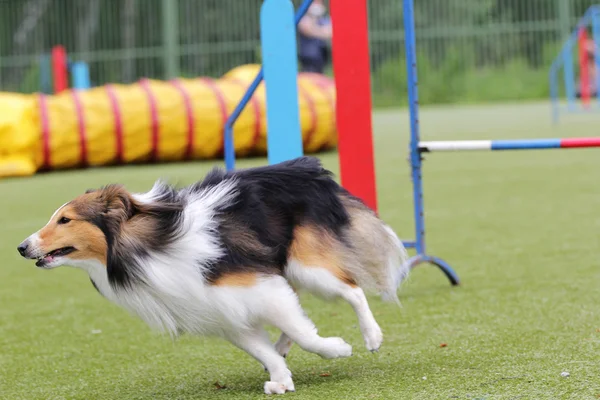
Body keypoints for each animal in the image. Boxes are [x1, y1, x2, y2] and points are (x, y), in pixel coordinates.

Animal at [19, 155, 412, 394]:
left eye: (65, 220)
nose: (22, 247)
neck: (148, 246)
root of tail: (306, 167)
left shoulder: (257, 286)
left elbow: (307, 335)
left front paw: (336, 349)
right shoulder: (222, 310)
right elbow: (262, 348)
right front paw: (280, 379)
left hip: (309, 265)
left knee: (352, 288)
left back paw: (371, 336)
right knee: (301, 307)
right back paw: (284, 347)